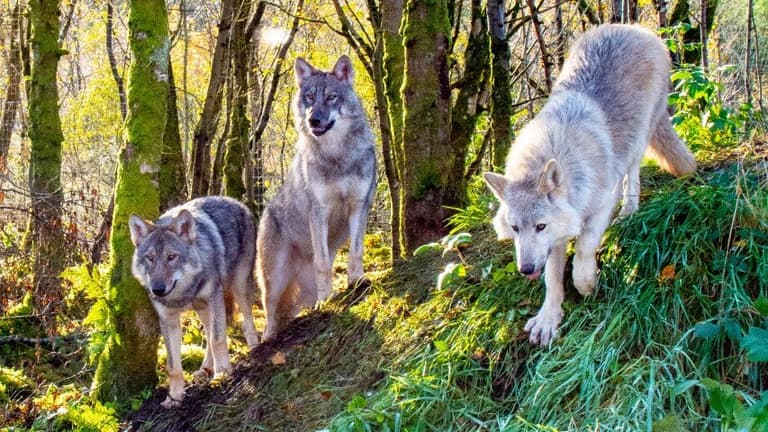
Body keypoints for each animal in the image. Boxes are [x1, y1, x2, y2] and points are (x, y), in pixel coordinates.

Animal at [128, 196, 259, 408]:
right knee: (209, 332)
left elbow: (217, 340)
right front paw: (174, 397)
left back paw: (256, 349)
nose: (157, 290)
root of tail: (236, 202)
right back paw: (205, 369)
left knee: (247, 321)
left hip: (239, 287)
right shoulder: (168, 320)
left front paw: (222, 373)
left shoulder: (215, 298)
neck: (183, 294)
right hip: (202, 309)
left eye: (171, 257)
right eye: (150, 258)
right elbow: (173, 366)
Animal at [257, 55, 377, 341]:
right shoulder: (318, 211)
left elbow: (356, 251)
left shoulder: (359, 205)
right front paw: (327, 302)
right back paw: (269, 338)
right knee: (269, 312)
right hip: (274, 280)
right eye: (310, 97)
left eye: (332, 97)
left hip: (301, 291)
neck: (337, 157)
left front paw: (357, 282)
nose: (314, 120)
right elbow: (322, 263)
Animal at [483, 24, 696, 346]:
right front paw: (548, 318)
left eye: (540, 226)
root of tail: (634, 28)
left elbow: (583, 248)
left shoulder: (599, 207)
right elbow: (552, 278)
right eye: (516, 228)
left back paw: (628, 211)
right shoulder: (556, 239)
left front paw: (586, 284)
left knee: (631, 174)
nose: (525, 269)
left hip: (639, 138)